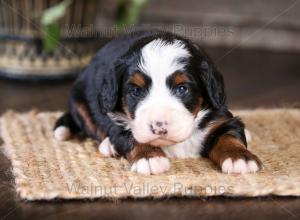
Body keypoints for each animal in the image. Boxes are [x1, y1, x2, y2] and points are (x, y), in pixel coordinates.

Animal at [52, 30, 262, 175]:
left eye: (182, 89)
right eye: (136, 91)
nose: (158, 126)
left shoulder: (219, 116)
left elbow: (229, 136)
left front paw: (239, 158)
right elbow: (131, 134)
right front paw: (149, 157)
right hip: (79, 100)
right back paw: (108, 146)